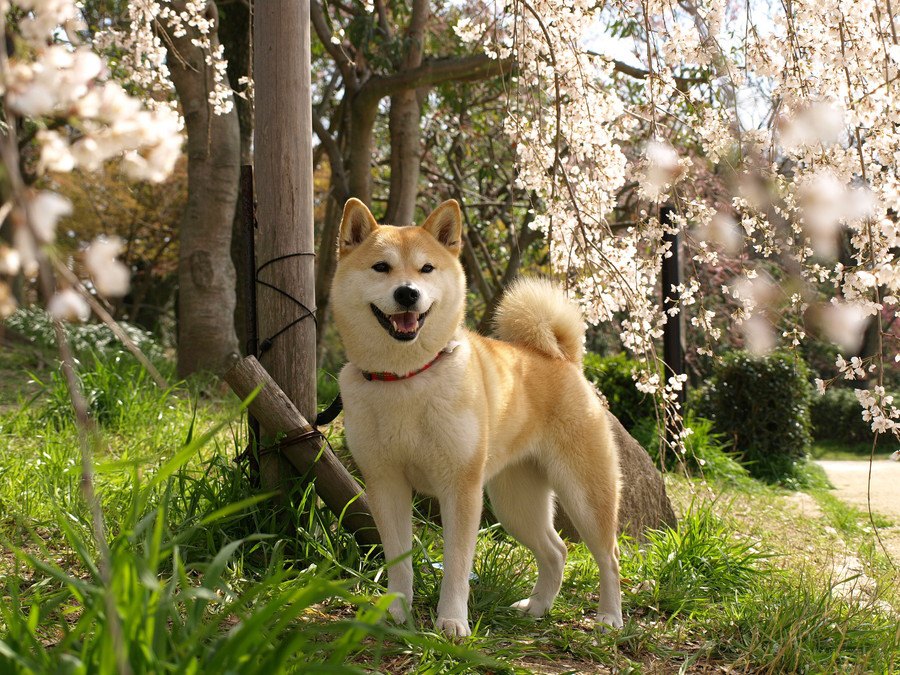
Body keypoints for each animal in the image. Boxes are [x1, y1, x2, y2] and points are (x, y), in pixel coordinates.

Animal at [328, 198, 620, 636]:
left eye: (426, 268)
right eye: (381, 267)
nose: (407, 293)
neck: (407, 377)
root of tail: (562, 358)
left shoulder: (460, 487)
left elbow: (456, 564)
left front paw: (451, 621)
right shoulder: (385, 483)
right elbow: (399, 560)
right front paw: (395, 613)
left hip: (584, 495)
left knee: (609, 557)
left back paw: (609, 618)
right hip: (516, 503)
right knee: (556, 550)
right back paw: (537, 607)